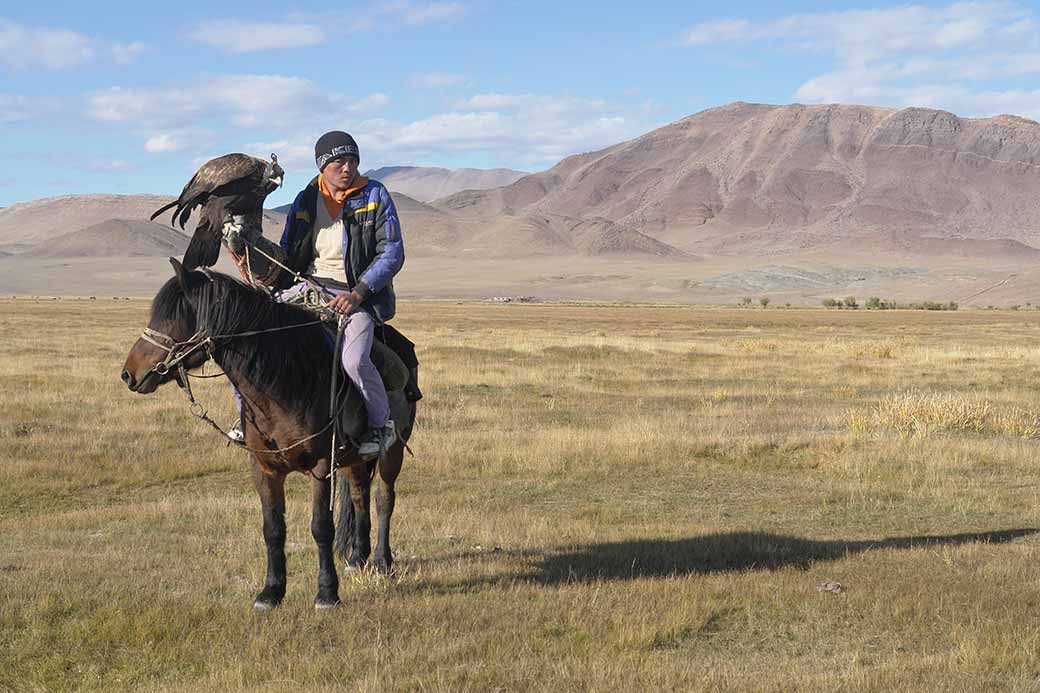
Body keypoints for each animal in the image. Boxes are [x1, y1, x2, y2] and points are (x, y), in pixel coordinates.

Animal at [121, 259, 413, 611]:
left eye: (171, 317)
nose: (129, 374)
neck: (284, 382)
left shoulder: (320, 466)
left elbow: (321, 527)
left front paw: (327, 593)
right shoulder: (264, 467)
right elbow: (272, 528)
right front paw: (271, 591)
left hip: (392, 451)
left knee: (384, 499)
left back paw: (383, 561)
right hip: (352, 458)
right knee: (359, 496)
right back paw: (357, 558)